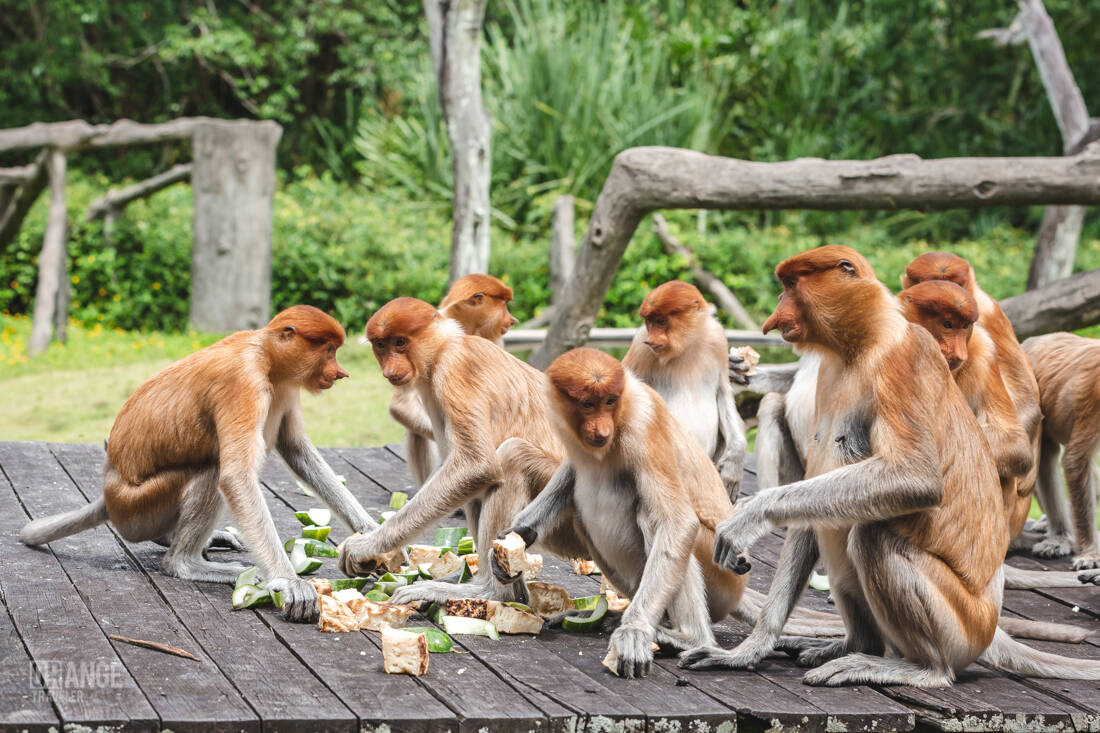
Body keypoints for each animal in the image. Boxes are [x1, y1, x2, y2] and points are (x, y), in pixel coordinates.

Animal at [19, 305, 376, 623]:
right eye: (328, 351)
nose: (340, 373)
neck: (266, 357)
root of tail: (109, 496)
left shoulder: (287, 387)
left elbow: (296, 449)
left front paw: (370, 534)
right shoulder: (243, 385)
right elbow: (235, 477)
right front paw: (291, 583)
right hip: (140, 506)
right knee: (211, 471)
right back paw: (185, 563)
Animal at [338, 297, 590, 604]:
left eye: (400, 342)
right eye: (381, 345)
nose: (391, 369)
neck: (444, 347)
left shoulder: (455, 370)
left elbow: (477, 464)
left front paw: (364, 546)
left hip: (572, 516)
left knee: (512, 457)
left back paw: (489, 591)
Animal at [623, 281, 748, 499]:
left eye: (661, 321)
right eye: (649, 322)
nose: (651, 340)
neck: (688, 344)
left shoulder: (717, 338)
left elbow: (723, 395)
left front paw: (734, 466)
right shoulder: (640, 345)